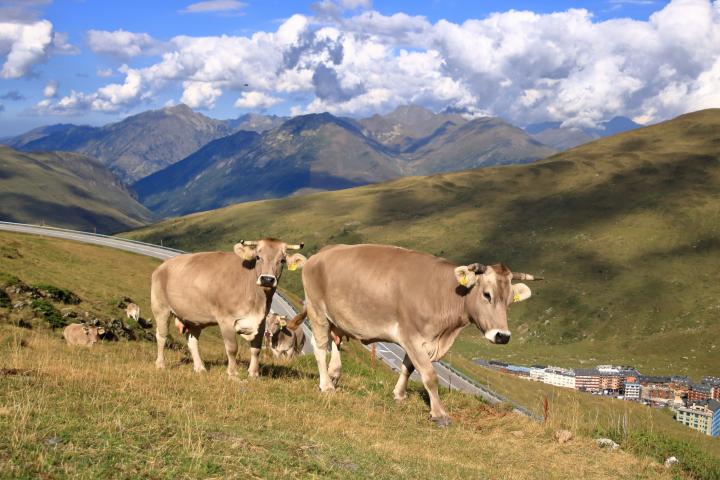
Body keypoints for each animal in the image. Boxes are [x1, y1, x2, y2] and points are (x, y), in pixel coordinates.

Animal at [151, 238, 306, 378]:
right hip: (161, 308)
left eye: (282, 260)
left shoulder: (261, 321)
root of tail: (163, 266)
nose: (267, 279)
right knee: (162, 336)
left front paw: (253, 373)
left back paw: (200, 368)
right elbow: (232, 348)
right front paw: (233, 373)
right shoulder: (226, 320)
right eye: (258, 257)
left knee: (192, 341)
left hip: (194, 318)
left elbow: (256, 349)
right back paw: (160, 364)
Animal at [288, 244, 541, 426]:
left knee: (336, 342)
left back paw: (334, 375)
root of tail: (319, 254)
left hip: (336, 318)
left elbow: (408, 367)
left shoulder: (420, 340)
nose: (502, 336)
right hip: (317, 310)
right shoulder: (411, 336)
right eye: (487, 294)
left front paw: (399, 395)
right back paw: (326, 385)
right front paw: (439, 413)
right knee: (320, 346)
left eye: (509, 301)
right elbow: (429, 375)